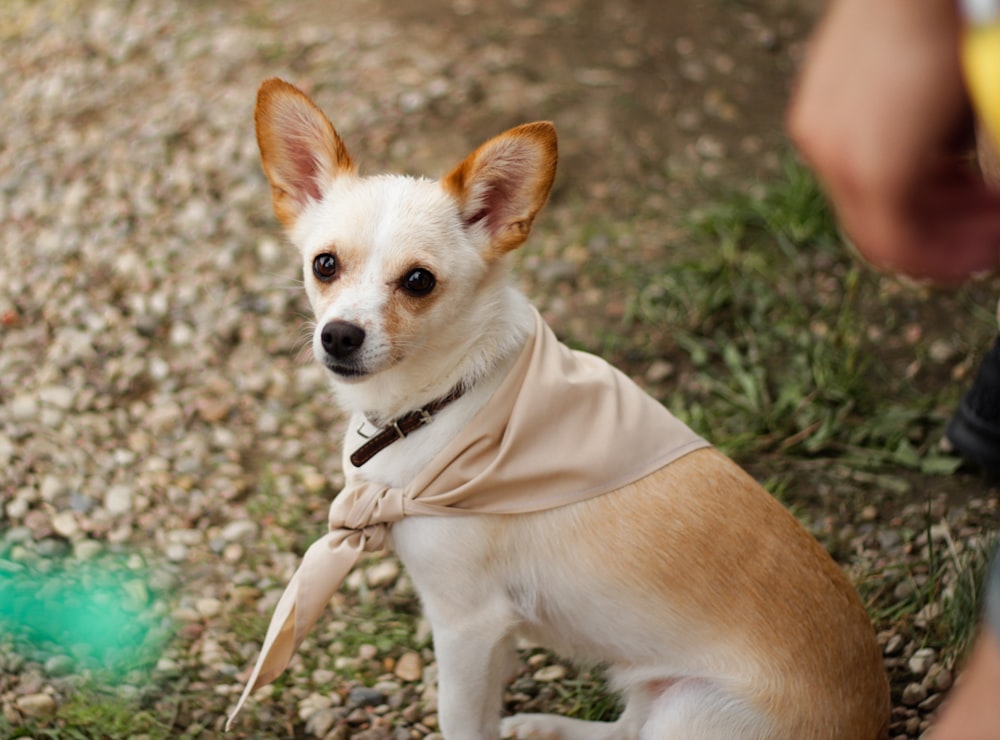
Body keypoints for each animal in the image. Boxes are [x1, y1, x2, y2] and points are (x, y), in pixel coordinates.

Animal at [246, 78, 888, 736]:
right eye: (325, 264)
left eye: (419, 281)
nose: (339, 336)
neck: (442, 402)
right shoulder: (492, 633)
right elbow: (487, 703)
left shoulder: (466, 622)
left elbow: (461, 718)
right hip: (653, 689)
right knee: (626, 729)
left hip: (691, 709)